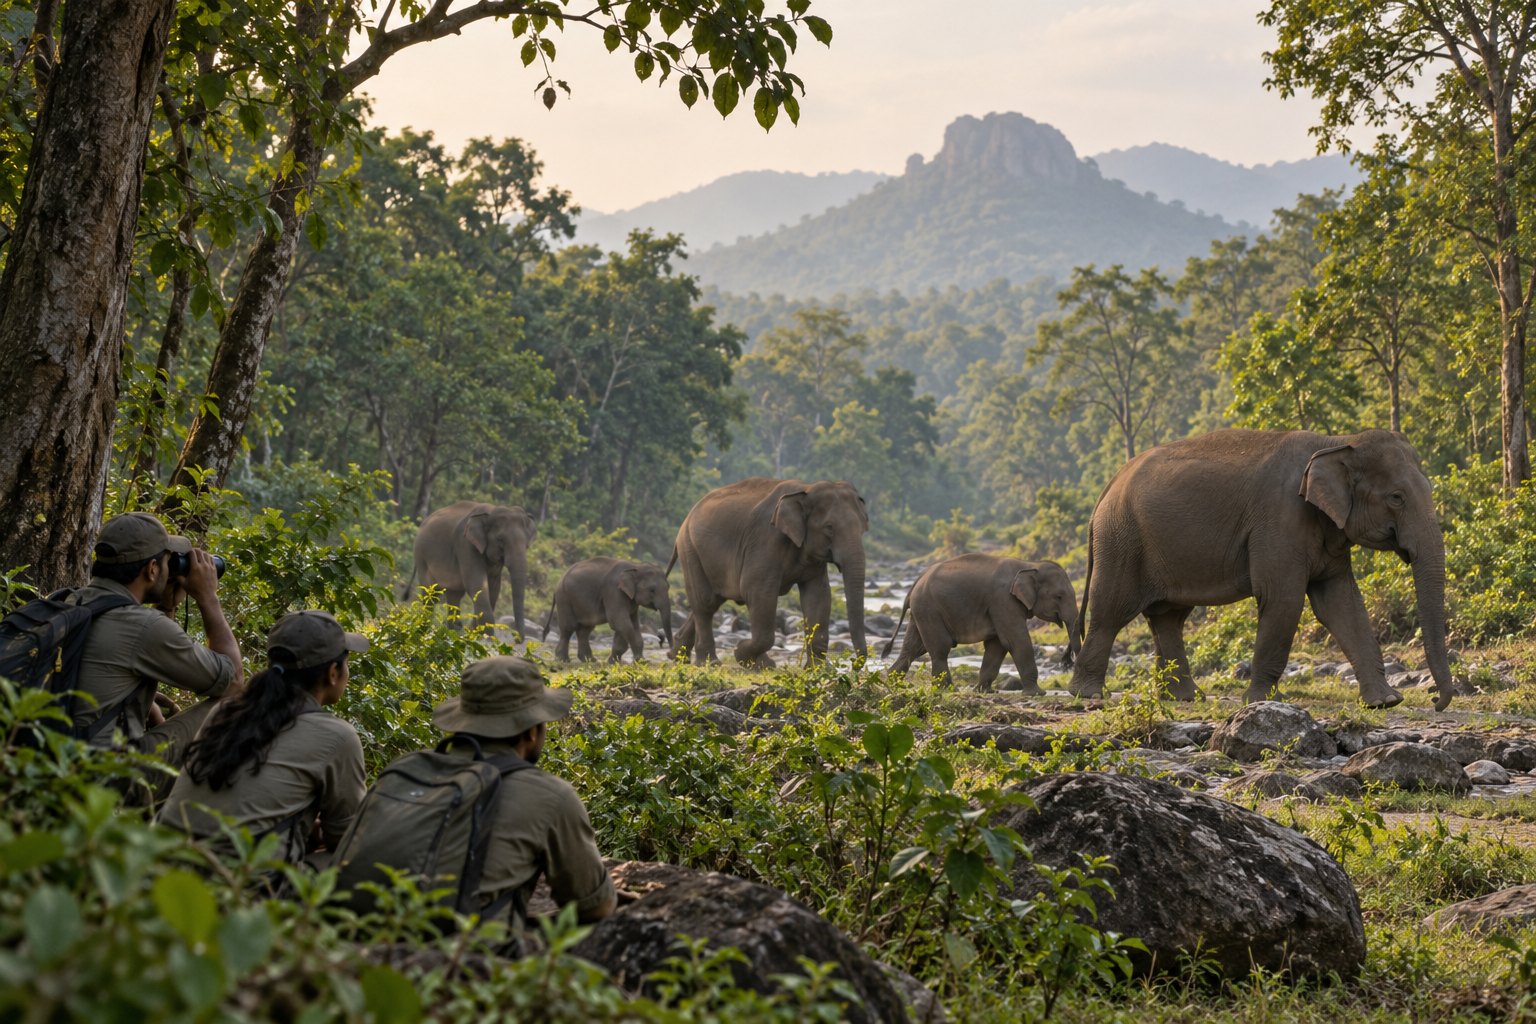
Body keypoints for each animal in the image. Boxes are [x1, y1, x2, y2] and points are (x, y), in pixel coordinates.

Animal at [412, 501, 537, 635]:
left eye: (526, 544)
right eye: (500, 539)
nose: (517, 637)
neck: (491, 511)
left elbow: (493, 588)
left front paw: (476, 632)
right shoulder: (465, 544)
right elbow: (476, 584)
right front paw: (485, 634)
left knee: (454, 595)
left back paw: (454, 629)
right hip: (421, 557)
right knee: (431, 594)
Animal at [540, 558, 674, 663]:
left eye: (668, 587)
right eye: (652, 590)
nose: (670, 655)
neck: (635, 566)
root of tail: (558, 582)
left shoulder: (630, 600)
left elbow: (631, 625)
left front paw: (615, 661)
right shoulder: (613, 592)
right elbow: (619, 622)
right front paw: (641, 661)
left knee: (585, 630)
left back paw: (590, 660)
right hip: (564, 598)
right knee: (568, 628)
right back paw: (563, 660)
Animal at [669, 477, 869, 666]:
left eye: (864, 527)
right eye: (829, 528)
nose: (853, 663)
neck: (806, 488)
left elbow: (818, 597)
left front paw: (820, 669)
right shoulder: (765, 539)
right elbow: (757, 591)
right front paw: (740, 653)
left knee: (713, 600)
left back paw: (677, 656)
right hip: (690, 549)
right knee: (706, 603)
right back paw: (711, 663)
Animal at [883, 554, 1079, 692]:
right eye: (1059, 596)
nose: (1068, 661)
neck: (1029, 565)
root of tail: (916, 582)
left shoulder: (1001, 605)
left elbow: (997, 645)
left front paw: (983, 691)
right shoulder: (1003, 600)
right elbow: (1015, 640)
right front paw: (1037, 693)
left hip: (922, 611)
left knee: (914, 648)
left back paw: (892, 683)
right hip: (929, 608)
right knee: (940, 648)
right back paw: (948, 689)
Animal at [1068, 428, 1454, 710]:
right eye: (1396, 498)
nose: (1436, 700)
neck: (1336, 442)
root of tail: (1108, 486)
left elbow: (1340, 603)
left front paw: (1385, 702)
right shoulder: (1280, 519)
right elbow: (1283, 599)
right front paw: (1263, 701)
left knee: (1168, 617)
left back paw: (1185, 697)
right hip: (1121, 539)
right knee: (1112, 611)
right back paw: (1087, 695)